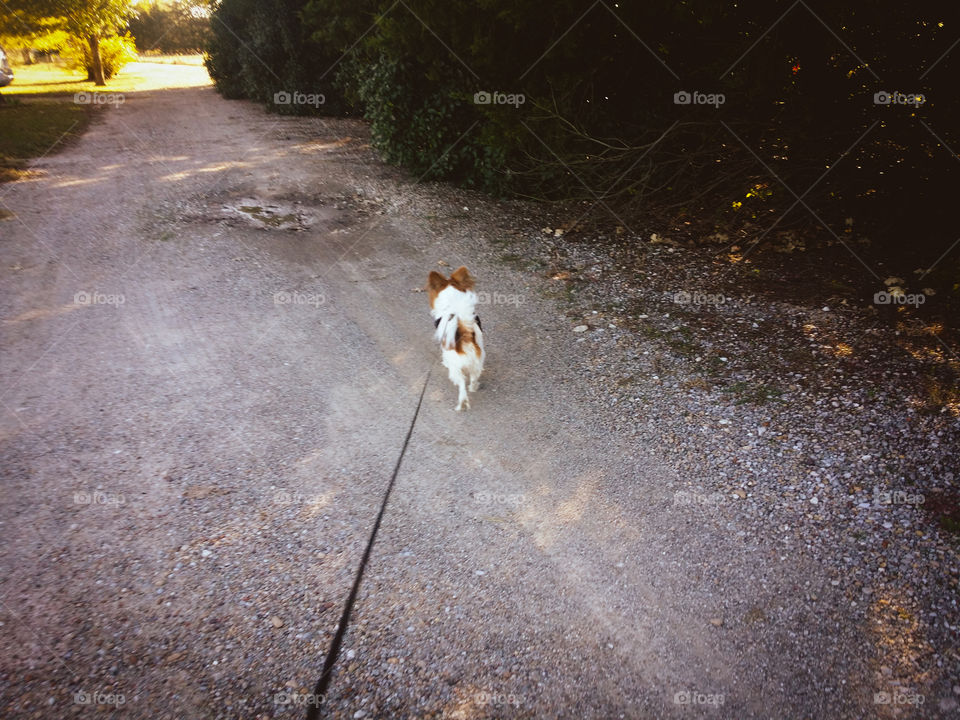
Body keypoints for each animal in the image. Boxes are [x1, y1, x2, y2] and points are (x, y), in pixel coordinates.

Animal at [430, 266, 488, 410]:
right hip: (477, 362)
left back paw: (462, 403)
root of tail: (466, 336)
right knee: (473, 378)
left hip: (456, 368)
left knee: (461, 384)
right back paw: (473, 388)